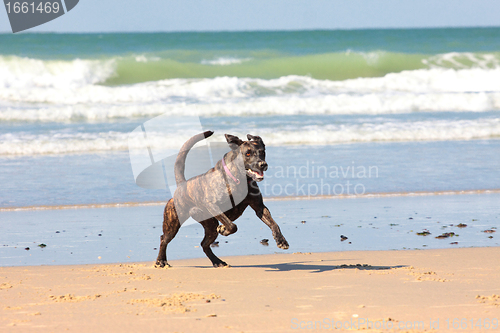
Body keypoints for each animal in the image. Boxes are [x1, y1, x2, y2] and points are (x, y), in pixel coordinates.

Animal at [156, 130, 290, 268]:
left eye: (262, 152)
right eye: (247, 153)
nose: (262, 164)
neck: (239, 178)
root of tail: (182, 184)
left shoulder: (259, 207)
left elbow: (273, 223)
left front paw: (281, 240)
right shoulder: (213, 205)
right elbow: (232, 225)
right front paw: (224, 229)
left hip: (210, 225)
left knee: (204, 244)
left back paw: (217, 261)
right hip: (173, 222)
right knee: (164, 239)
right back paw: (161, 261)